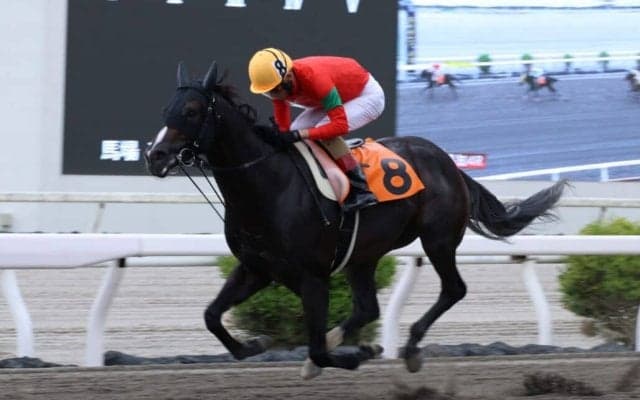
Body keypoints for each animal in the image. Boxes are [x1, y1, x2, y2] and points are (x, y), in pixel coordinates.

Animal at [145, 60, 567, 379]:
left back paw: (410, 347)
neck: (268, 185)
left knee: (453, 289)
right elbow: (211, 316)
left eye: (192, 111)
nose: (155, 155)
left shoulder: (312, 277)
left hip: (438, 239)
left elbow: (316, 348)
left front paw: (356, 354)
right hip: (364, 254)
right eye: (166, 109)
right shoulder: (256, 268)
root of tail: (448, 162)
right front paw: (254, 344)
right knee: (368, 308)